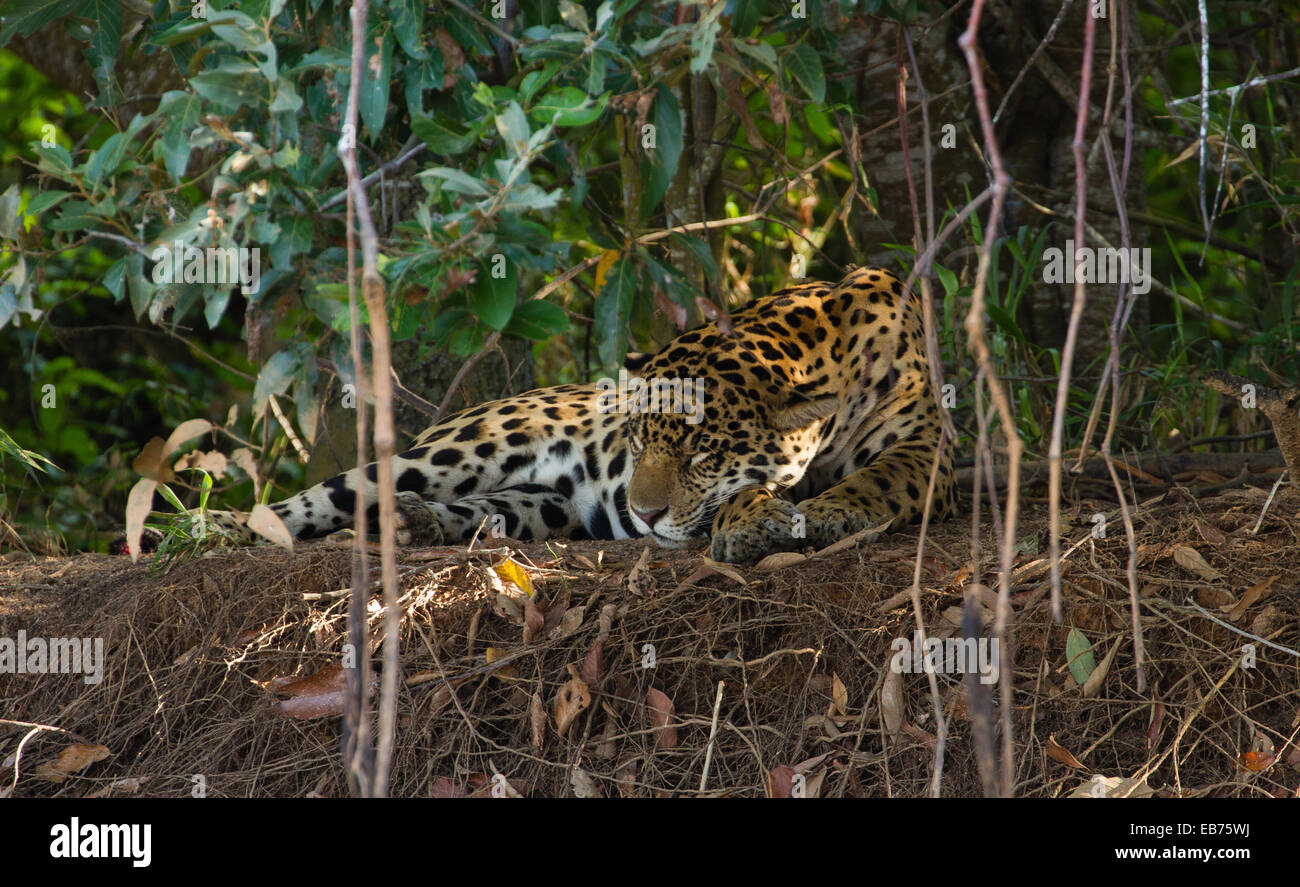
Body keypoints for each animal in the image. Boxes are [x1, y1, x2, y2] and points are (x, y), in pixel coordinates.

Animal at [264, 266, 957, 564]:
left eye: (703, 454)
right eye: (639, 443)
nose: (639, 513)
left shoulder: (927, 448)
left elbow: (879, 478)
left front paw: (831, 510)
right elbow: (739, 500)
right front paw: (757, 521)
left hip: (546, 505)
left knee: (488, 512)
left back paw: (416, 525)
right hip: (461, 447)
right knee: (299, 506)